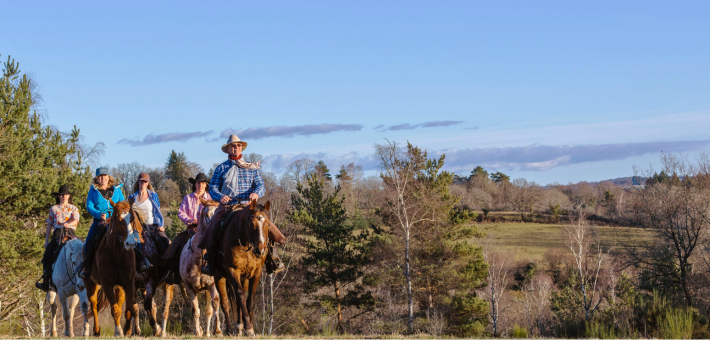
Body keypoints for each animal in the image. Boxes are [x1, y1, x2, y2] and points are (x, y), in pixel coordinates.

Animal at [85, 201, 140, 336]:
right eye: (119, 220)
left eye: (132, 219)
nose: (130, 243)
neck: (117, 254)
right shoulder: (106, 283)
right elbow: (114, 310)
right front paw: (119, 331)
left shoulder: (128, 283)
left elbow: (128, 310)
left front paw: (127, 330)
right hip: (91, 284)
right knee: (94, 305)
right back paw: (97, 330)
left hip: (119, 288)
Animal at [179, 199, 221, 338]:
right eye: (206, 214)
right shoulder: (189, 287)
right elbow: (195, 310)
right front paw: (198, 331)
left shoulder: (212, 286)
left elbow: (213, 307)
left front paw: (216, 331)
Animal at [216, 201, 272, 336]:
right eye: (252, 224)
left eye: (268, 224)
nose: (260, 250)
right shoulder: (232, 270)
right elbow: (241, 295)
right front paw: (248, 327)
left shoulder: (256, 272)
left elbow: (249, 298)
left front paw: (249, 327)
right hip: (219, 276)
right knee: (225, 303)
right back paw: (230, 329)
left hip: (244, 278)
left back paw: (239, 327)